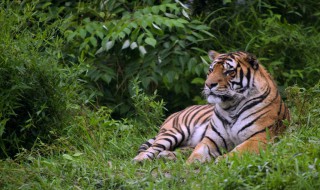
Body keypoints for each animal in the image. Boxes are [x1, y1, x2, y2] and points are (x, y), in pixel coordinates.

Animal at [133, 50, 290, 163]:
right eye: (211, 70)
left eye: (229, 71)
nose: (208, 84)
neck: (231, 106)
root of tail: (176, 112)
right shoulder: (211, 139)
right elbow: (197, 153)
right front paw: (191, 165)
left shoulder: (260, 137)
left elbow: (239, 151)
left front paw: (222, 160)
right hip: (174, 131)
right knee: (152, 148)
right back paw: (141, 159)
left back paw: (167, 156)